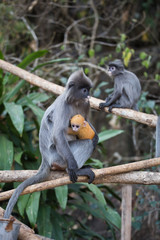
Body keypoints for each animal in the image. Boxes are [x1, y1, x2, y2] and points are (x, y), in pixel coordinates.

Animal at [3, 69, 99, 219]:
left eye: (88, 89)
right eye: (84, 90)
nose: (88, 94)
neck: (75, 102)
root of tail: (45, 157)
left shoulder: (85, 104)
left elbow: (87, 121)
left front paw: (96, 136)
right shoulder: (63, 106)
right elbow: (58, 134)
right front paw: (73, 168)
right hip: (57, 155)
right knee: (86, 143)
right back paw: (75, 169)